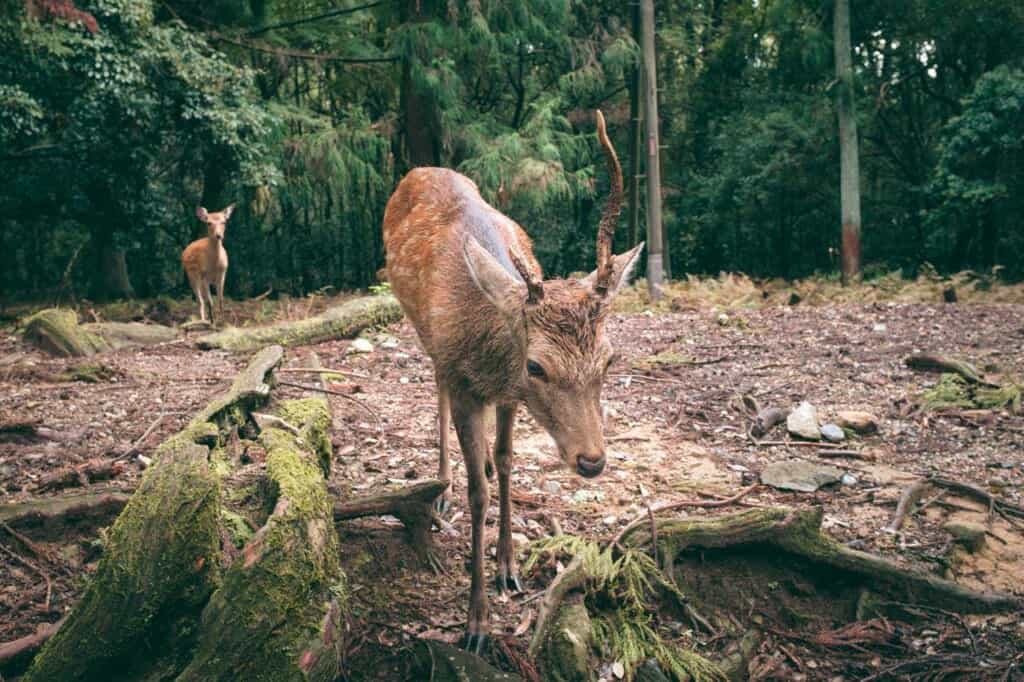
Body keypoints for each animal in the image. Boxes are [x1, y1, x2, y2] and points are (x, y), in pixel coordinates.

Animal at [383, 111, 643, 653]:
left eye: (609, 358)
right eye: (537, 366)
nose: (592, 460)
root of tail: (418, 169)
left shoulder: (509, 398)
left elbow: (505, 462)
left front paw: (508, 566)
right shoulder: (466, 379)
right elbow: (479, 491)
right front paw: (476, 622)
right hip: (423, 334)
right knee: (435, 391)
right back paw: (441, 486)